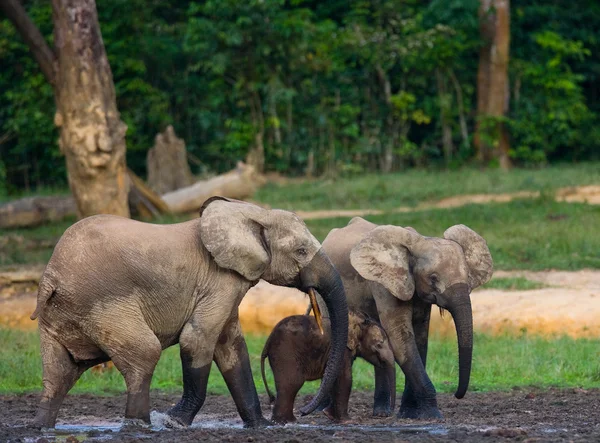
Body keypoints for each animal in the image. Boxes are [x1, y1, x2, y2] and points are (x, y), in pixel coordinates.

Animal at [30, 198, 350, 430]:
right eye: (301, 250)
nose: (306, 412)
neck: (253, 213)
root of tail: (50, 276)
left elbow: (231, 348)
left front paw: (261, 428)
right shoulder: (220, 282)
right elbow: (198, 340)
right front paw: (174, 423)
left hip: (62, 312)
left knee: (60, 371)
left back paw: (42, 428)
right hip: (102, 304)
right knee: (144, 353)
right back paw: (140, 427)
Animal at [262, 310, 394, 424]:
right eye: (379, 345)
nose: (302, 412)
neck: (357, 320)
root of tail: (268, 341)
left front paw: (329, 415)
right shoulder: (342, 350)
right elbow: (344, 378)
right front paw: (348, 421)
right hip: (285, 353)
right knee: (293, 383)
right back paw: (286, 421)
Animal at [322, 218, 494, 420]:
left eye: (467, 276)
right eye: (433, 278)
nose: (457, 394)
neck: (419, 242)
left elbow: (420, 339)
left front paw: (409, 414)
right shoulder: (385, 284)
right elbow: (401, 338)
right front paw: (433, 416)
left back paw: (381, 413)